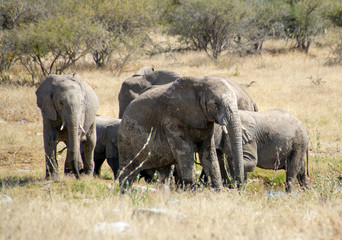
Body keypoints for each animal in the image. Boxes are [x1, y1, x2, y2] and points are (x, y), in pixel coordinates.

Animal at [118, 76, 246, 190]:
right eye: (216, 104)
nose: (239, 188)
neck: (200, 83)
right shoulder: (171, 121)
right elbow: (185, 153)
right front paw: (192, 193)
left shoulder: (205, 120)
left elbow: (208, 153)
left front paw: (218, 192)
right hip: (126, 139)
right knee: (128, 173)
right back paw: (123, 194)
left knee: (164, 173)